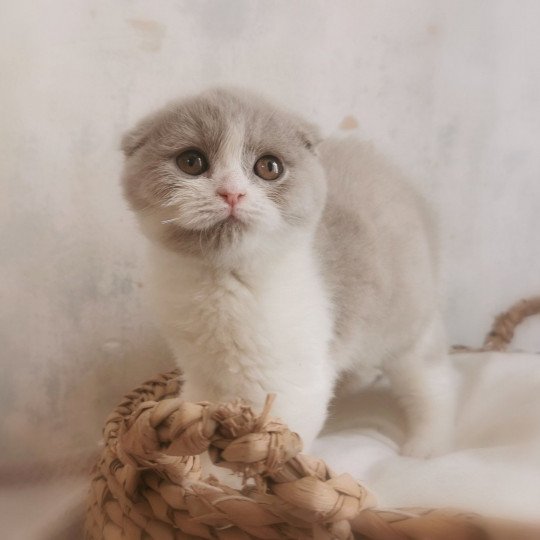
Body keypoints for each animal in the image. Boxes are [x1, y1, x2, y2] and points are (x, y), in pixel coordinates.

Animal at [120, 87, 454, 456]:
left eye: (269, 167)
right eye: (191, 162)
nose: (232, 192)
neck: (225, 283)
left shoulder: (293, 387)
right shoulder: (201, 376)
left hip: (407, 326)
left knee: (433, 383)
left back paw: (425, 447)